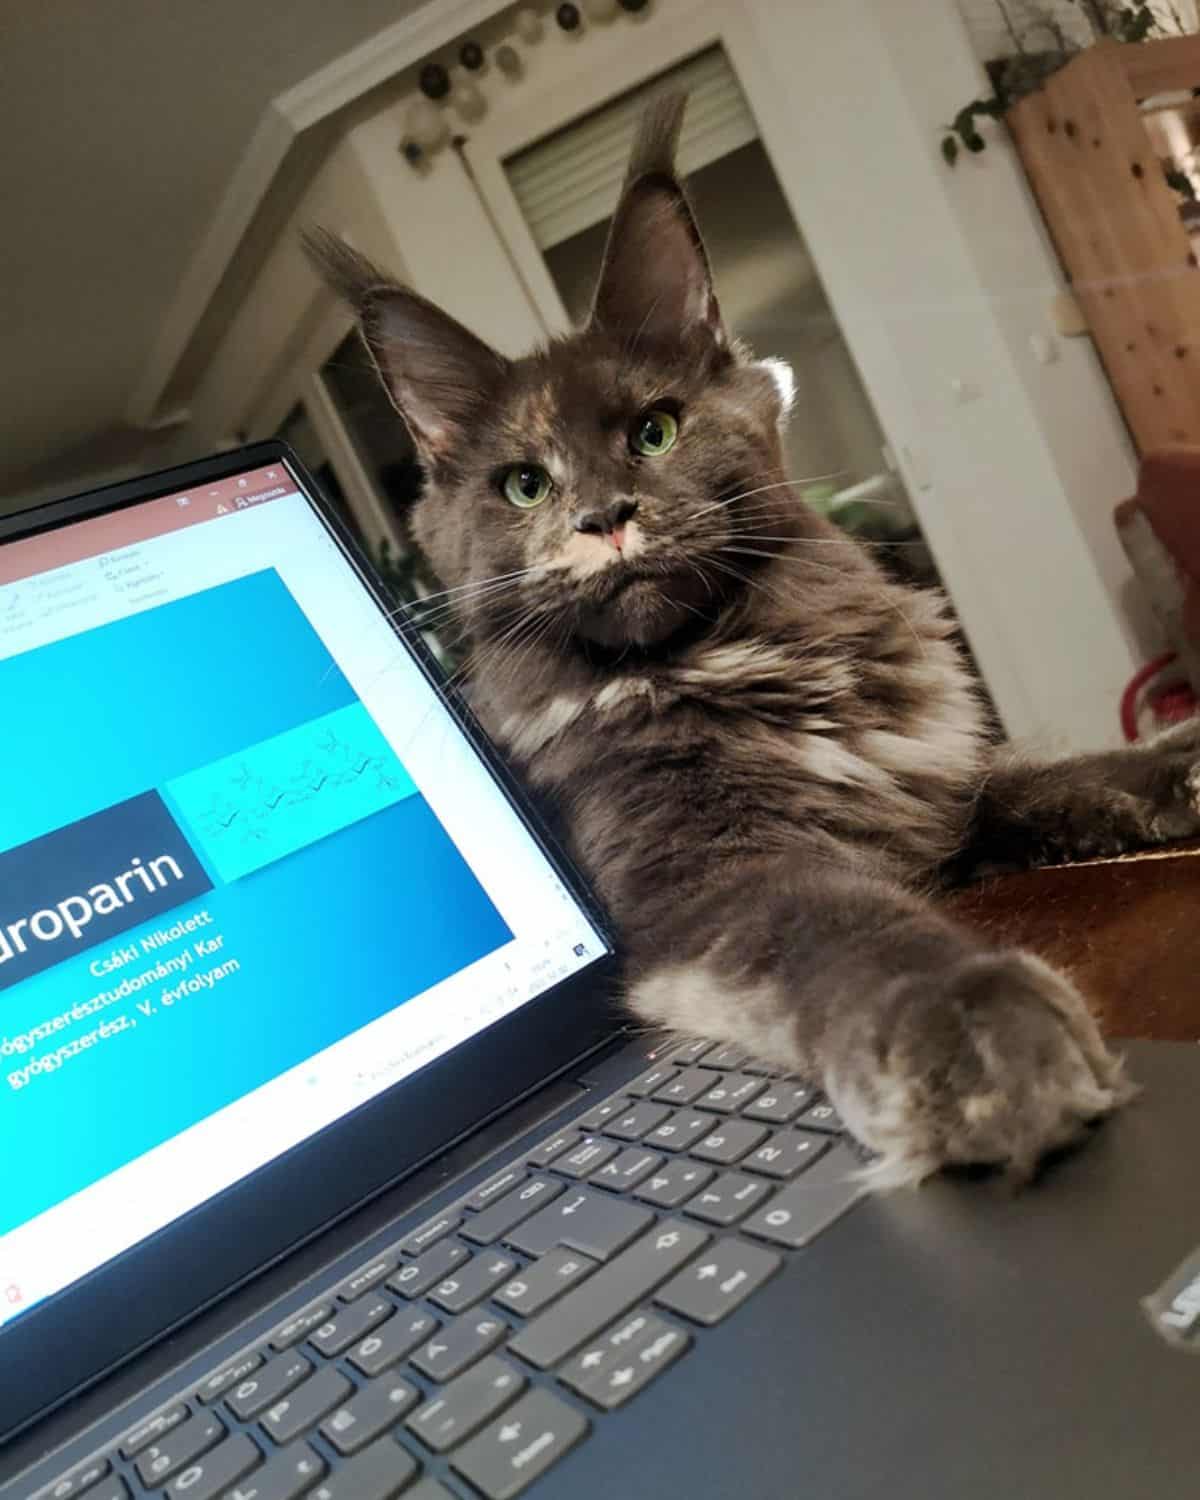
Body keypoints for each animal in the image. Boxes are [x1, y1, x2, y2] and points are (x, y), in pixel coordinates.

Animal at [303, 96, 1200, 1182]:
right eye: (525, 485)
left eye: (654, 432)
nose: (604, 517)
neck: (758, 659)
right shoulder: (713, 880)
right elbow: (853, 928)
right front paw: (977, 1030)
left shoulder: (943, 784)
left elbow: (1070, 774)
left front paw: (1183, 764)